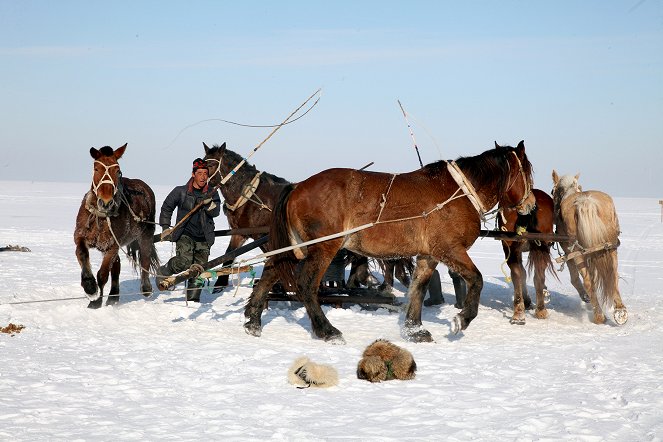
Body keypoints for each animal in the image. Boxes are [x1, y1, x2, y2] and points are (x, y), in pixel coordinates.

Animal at [73, 144, 160, 308]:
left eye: (117, 171)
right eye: (96, 169)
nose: (106, 202)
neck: (100, 217)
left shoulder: (112, 245)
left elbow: (103, 274)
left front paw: (96, 302)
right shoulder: (81, 237)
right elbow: (82, 254)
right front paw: (89, 286)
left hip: (146, 234)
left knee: (145, 258)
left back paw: (145, 288)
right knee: (117, 266)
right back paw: (113, 296)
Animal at [246, 142, 536, 342]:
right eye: (528, 171)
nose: (531, 205)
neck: (460, 193)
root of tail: (298, 186)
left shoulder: (428, 256)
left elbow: (418, 290)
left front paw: (414, 330)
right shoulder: (449, 250)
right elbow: (476, 279)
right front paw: (462, 319)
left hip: (296, 248)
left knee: (270, 273)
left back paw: (253, 321)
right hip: (323, 248)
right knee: (306, 285)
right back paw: (327, 330)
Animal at [500, 187, 556, 324]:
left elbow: (522, 273)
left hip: (511, 248)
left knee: (517, 274)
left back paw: (519, 312)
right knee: (537, 276)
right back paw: (539, 309)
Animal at [552, 171, 632, 326]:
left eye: (553, 192)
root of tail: (585, 202)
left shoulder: (568, 253)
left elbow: (575, 279)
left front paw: (585, 297)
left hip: (577, 252)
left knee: (590, 280)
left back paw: (600, 315)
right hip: (609, 247)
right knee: (612, 276)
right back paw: (617, 311)